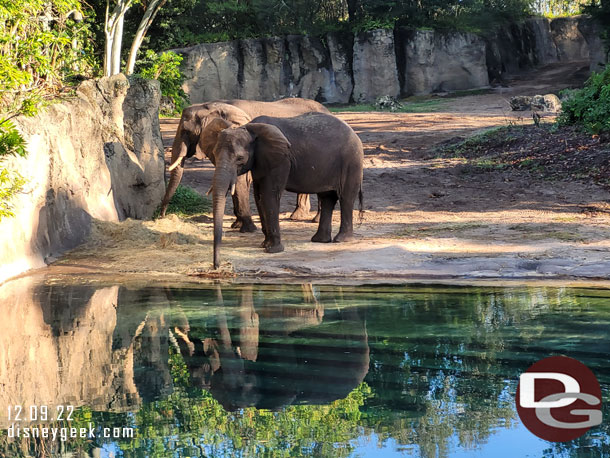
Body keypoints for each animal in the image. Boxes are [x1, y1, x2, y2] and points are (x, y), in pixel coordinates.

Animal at [157, 98, 328, 231]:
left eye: (186, 131)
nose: (162, 216)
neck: (213, 105)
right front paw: (237, 226)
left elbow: (240, 180)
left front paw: (246, 229)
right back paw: (297, 216)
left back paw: (314, 220)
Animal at [200, 111, 364, 268]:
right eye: (214, 154)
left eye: (240, 159)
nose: (216, 266)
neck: (248, 129)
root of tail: (354, 133)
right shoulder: (260, 162)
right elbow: (258, 197)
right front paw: (264, 245)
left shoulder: (280, 160)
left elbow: (269, 194)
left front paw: (272, 250)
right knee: (327, 198)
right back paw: (320, 240)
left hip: (352, 161)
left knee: (345, 198)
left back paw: (341, 240)